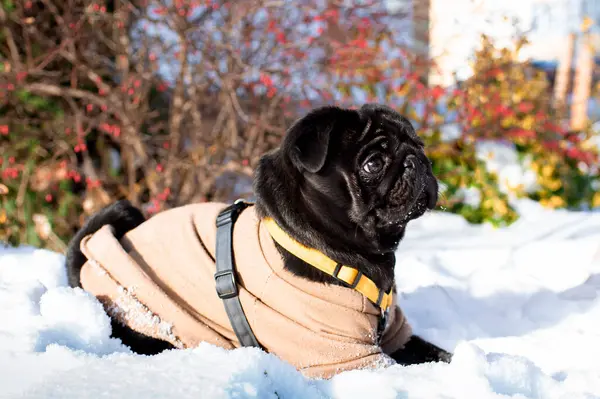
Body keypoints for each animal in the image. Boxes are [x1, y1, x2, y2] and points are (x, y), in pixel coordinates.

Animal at [65, 103, 450, 376]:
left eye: (419, 146)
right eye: (373, 163)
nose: (417, 161)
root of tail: (83, 266)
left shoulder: (396, 336)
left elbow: (440, 354)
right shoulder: (350, 357)